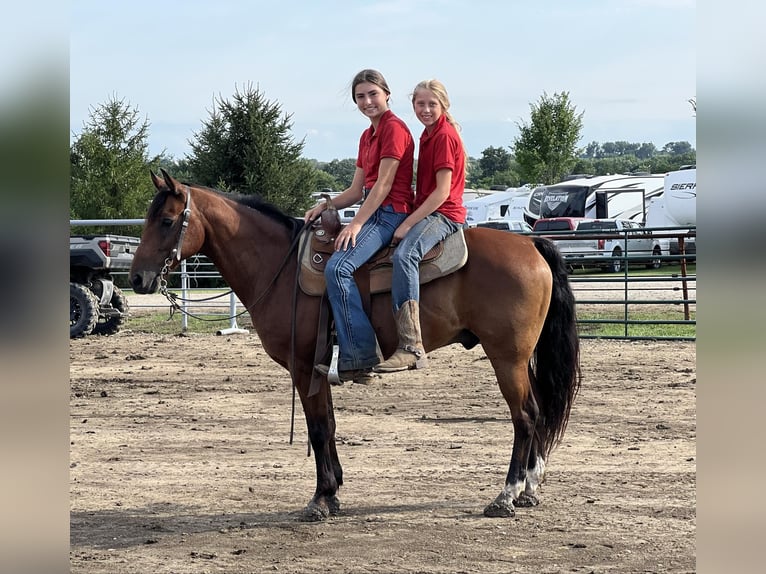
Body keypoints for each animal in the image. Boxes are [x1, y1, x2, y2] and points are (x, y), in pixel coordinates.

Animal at [130, 170, 584, 520]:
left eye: (167, 220)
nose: (137, 279)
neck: (280, 267)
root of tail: (530, 243)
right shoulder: (318, 368)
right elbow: (329, 426)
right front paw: (332, 493)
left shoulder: (302, 367)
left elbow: (317, 429)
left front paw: (319, 499)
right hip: (521, 358)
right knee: (539, 411)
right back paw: (529, 489)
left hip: (506, 357)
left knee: (525, 416)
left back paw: (506, 495)